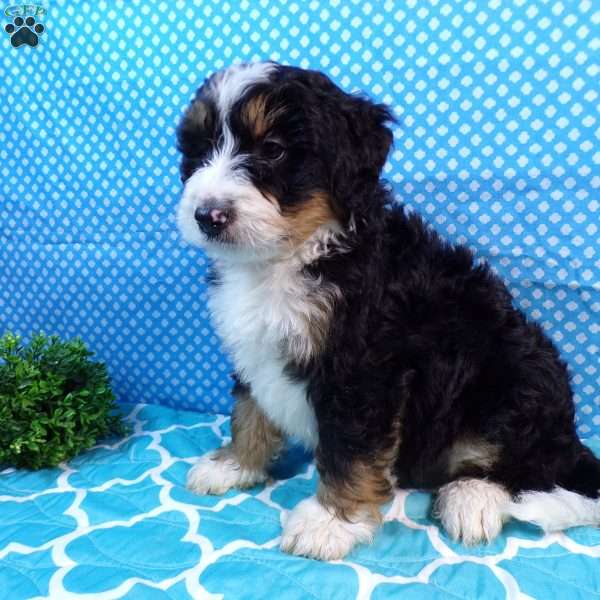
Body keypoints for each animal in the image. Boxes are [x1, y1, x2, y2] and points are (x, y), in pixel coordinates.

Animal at [177, 63, 600, 560]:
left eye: (274, 150)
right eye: (198, 151)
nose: (208, 215)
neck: (290, 258)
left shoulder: (363, 369)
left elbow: (350, 449)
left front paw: (329, 522)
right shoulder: (255, 347)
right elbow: (250, 410)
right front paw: (236, 464)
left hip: (515, 377)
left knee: (526, 466)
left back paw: (470, 497)